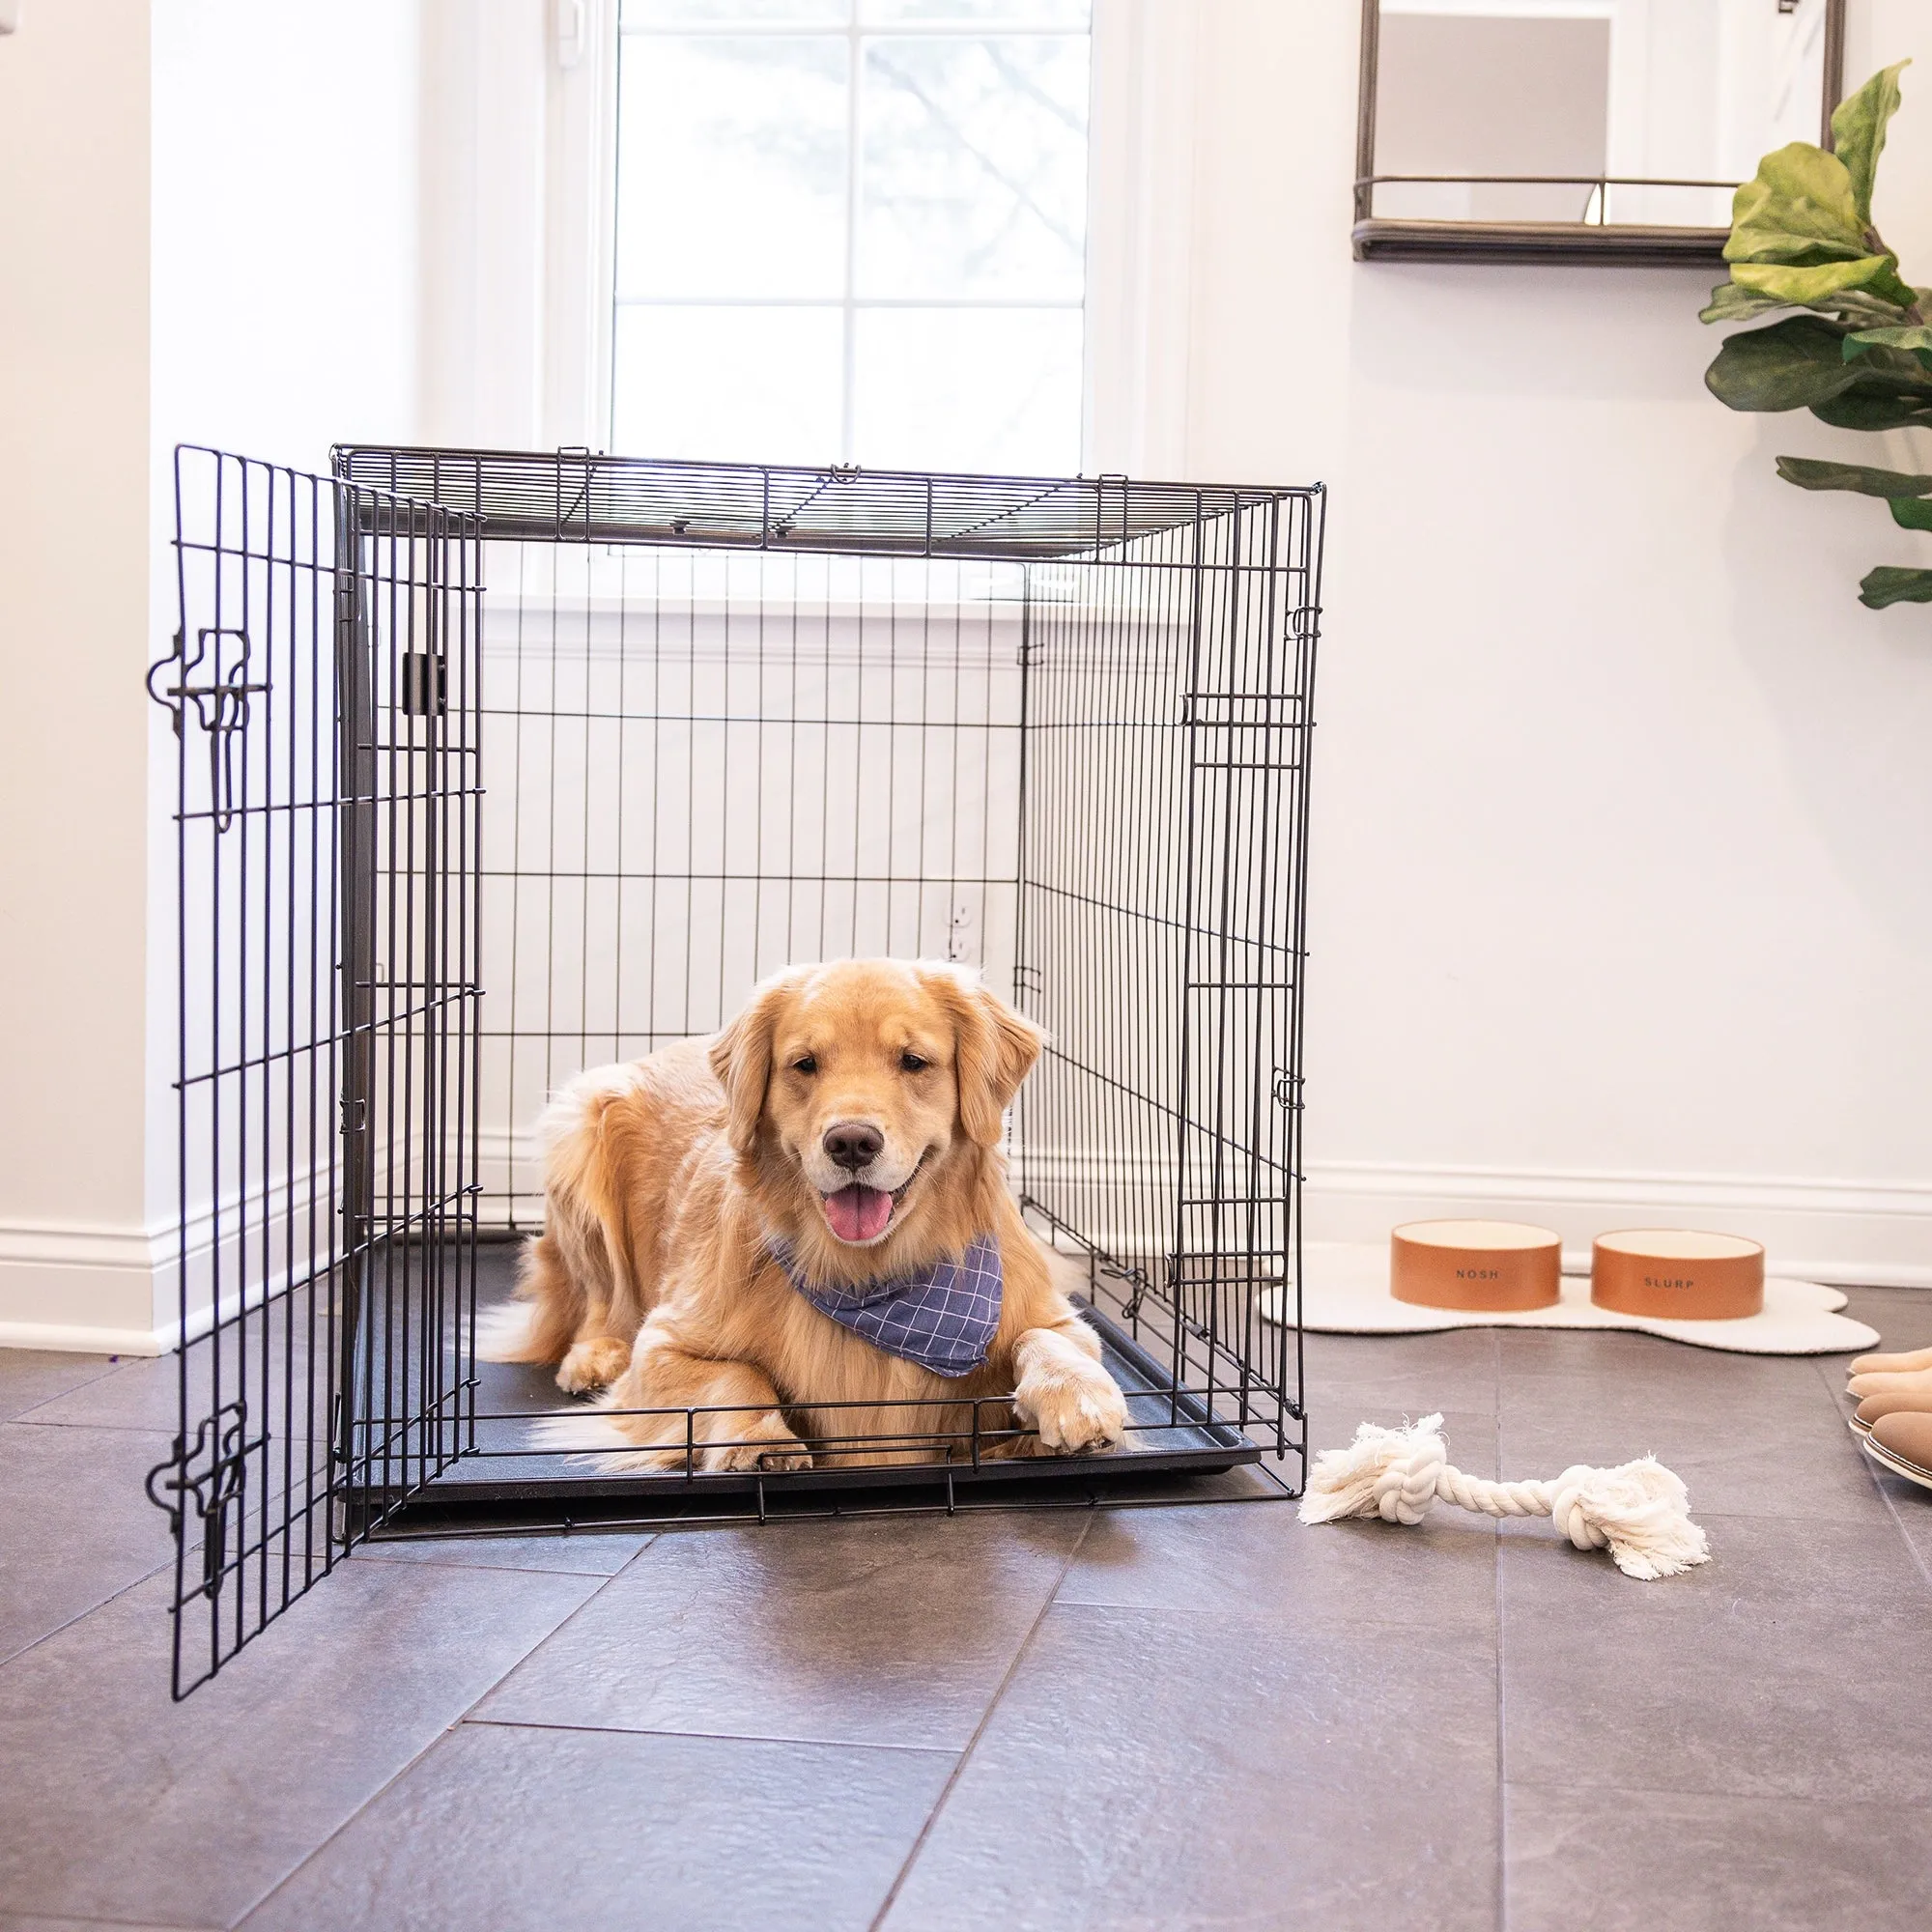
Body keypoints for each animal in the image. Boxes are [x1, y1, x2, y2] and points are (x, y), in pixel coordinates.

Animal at [491, 958, 1128, 1468]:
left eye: (913, 1061)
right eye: (804, 1064)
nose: (851, 1142)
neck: (874, 1277)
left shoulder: (1048, 1312)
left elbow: (1050, 1339)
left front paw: (1078, 1398)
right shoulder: (664, 1345)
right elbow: (737, 1373)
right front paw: (761, 1438)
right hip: (578, 1132)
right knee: (598, 1296)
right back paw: (592, 1354)